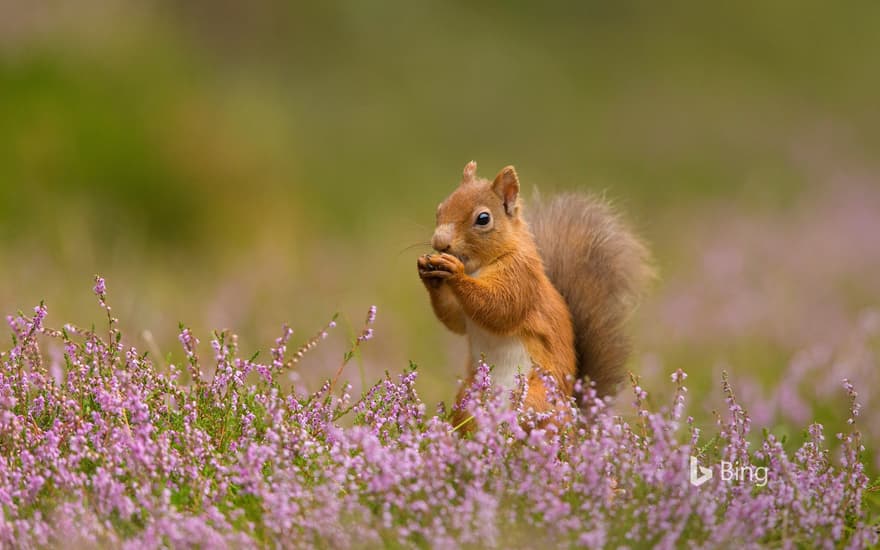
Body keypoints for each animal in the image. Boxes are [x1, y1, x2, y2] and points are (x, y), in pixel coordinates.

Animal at [418, 162, 652, 430]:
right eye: (440, 209)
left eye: (483, 218)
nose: (439, 243)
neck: (480, 266)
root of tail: (576, 426)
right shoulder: (464, 313)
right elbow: (456, 320)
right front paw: (429, 274)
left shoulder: (521, 277)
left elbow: (500, 308)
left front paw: (454, 272)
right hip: (469, 397)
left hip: (536, 398)